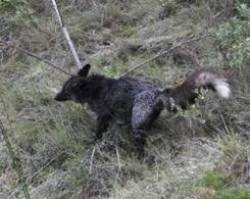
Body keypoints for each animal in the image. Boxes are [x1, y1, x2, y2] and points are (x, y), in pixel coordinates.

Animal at [55, 63, 230, 157]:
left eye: (65, 91)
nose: (55, 97)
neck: (94, 90)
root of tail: (158, 93)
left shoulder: (104, 116)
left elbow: (98, 133)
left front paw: (94, 144)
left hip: (137, 126)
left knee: (141, 146)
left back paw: (141, 160)